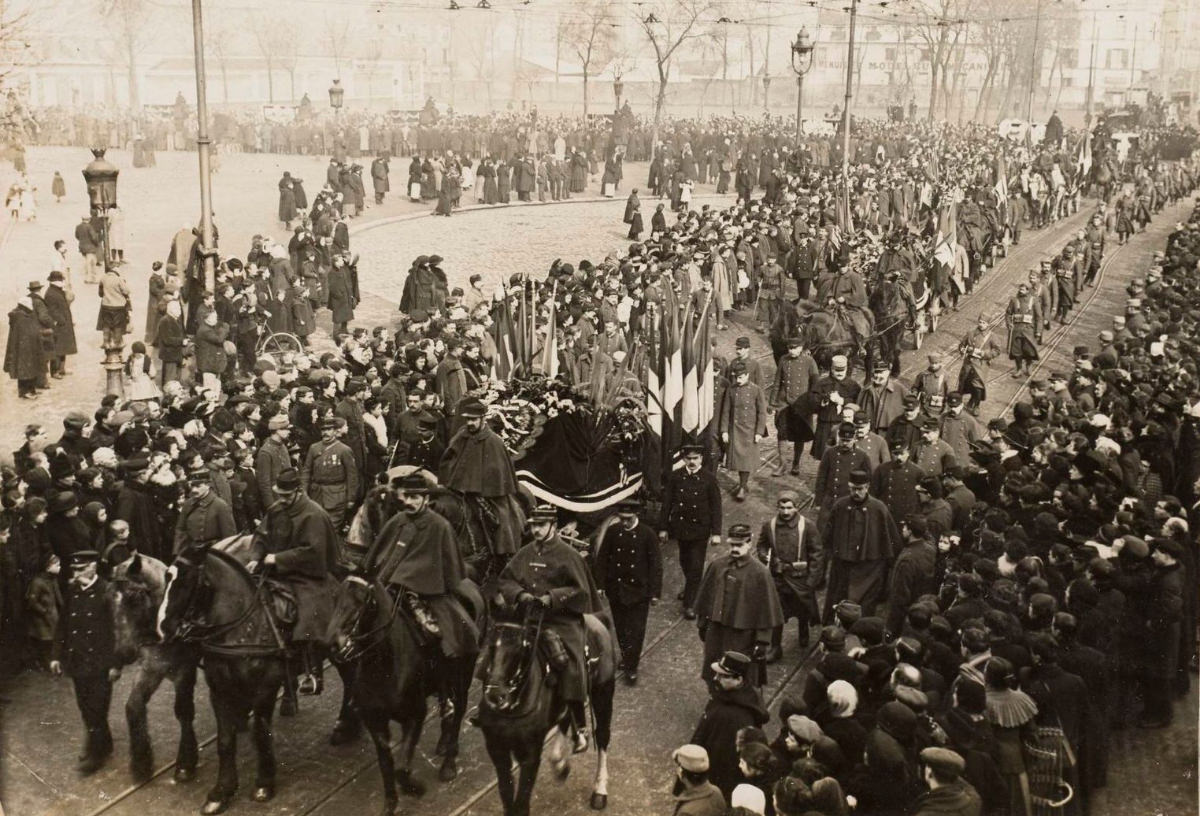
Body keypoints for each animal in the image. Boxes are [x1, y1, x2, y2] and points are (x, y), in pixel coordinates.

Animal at [110, 554, 201, 782]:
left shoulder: (185, 671)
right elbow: (133, 706)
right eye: (108, 600)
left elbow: (183, 711)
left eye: (134, 596)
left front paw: (186, 762)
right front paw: (142, 764)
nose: (122, 655)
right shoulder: (151, 670)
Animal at [157, 535, 357, 816]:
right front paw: (221, 792)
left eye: (186, 580)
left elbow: (261, 735)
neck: (242, 627)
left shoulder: (265, 688)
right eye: (167, 577)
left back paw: (346, 726)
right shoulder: (219, 689)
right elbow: (225, 741)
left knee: (351, 680)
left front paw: (264, 784)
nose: (163, 628)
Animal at [328, 573, 487, 816]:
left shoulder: (415, 716)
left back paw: (448, 764)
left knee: (459, 711)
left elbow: (401, 768)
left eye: (363, 601)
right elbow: (386, 765)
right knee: (446, 707)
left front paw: (416, 788)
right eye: (335, 597)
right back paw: (443, 742)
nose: (334, 644)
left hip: (463, 675)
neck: (384, 666)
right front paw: (389, 805)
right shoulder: (375, 722)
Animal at [475, 602, 614, 816]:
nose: (495, 695)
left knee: (602, 736)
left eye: (520, 647)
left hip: (603, 694)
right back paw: (561, 762)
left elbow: (521, 801)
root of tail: (597, 619)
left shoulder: (530, 754)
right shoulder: (497, 749)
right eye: (490, 645)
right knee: (566, 717)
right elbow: (506, 793)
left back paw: (599, 790)